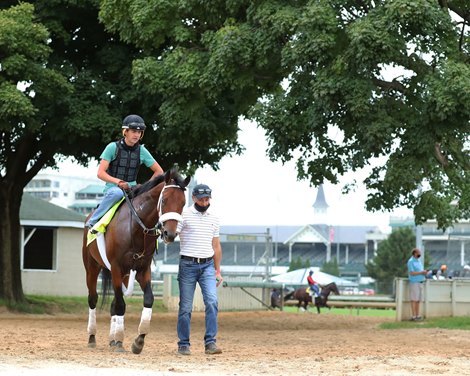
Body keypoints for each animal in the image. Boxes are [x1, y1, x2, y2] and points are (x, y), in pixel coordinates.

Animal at [81, 167, 190, 352]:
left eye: (183, 203)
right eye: (165, 200)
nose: (169, 234)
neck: (136, 228)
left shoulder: (142, 269)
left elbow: (148, 299)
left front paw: (138, 340)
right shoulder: (116, 267)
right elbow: (120, 304)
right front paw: (120, 340)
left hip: (123, 274)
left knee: (113, 303)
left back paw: (111, 339)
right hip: (92, 267)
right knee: (93, 298)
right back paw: (91, 337)